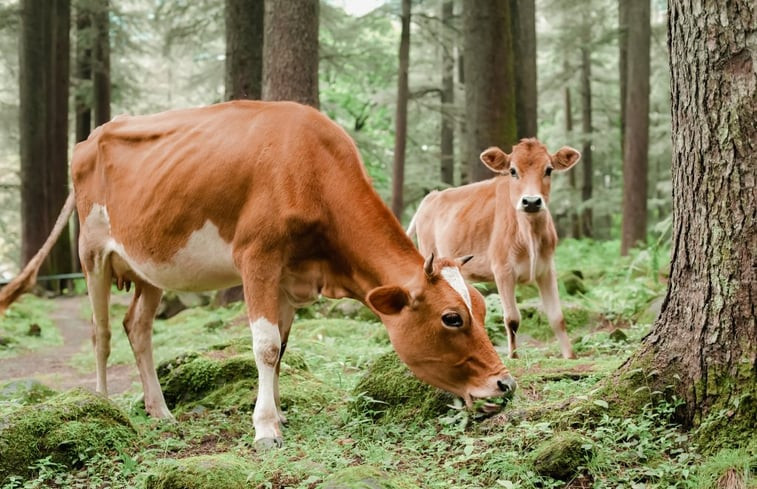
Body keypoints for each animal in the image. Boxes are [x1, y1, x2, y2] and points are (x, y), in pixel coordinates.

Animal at [0, 101, 512, 448]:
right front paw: (266, 429)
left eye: (482, 308)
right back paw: (105, 406)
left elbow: (281, 349)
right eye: (451, 318)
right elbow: (264, 346)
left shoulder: (289, 275)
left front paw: (278, 416)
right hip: (92, 252)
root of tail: (92, 136)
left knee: (137, 327)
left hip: (151, 265)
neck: (311, 170)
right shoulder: (258, 258)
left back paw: (160, 411)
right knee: (101, 331)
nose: (505, 384)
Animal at [408, 137, 580, 358]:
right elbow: (512, 318)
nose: (531, 201)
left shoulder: (547, 269)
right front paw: (513, 357)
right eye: (513, 171)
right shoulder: (502, 269)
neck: (529, 234)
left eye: (549, 170)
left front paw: (570, 356)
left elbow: (557, 317)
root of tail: (431, 196)